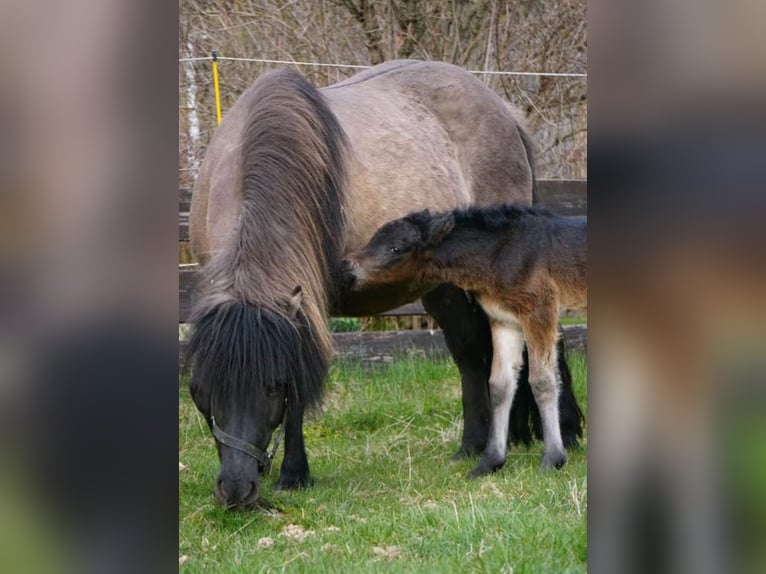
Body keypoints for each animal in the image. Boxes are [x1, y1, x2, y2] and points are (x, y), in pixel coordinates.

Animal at [342, 205, 587, 476]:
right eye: (373, 238)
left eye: (396, 248)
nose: (347, 267)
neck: (499, 254)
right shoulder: (504, 320)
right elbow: (500, 385)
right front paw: (490, 461)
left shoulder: (539, 311)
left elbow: (542, 381)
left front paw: (552, 459)